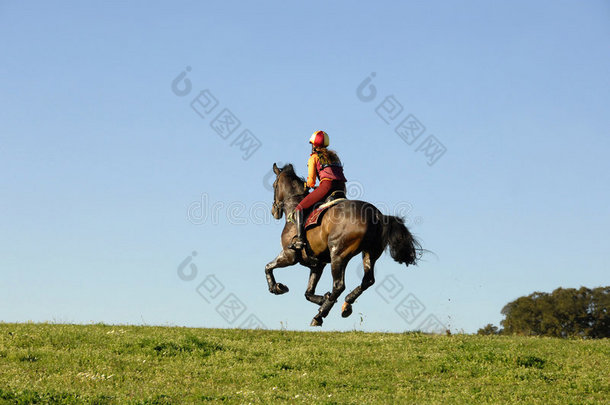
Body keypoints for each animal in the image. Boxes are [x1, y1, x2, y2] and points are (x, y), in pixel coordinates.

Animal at [264, 163, 420, 324]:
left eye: (274, 185)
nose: (274, 211)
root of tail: (377, 215)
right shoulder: (317, 265)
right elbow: (308, 292)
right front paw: (322, 298)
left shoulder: (289, 255)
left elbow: (268, 267)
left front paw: (277, 287)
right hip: (369, 253)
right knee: (368, 280)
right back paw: (346, 303)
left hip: (338, 254)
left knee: (339, 285)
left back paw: (320, 315)